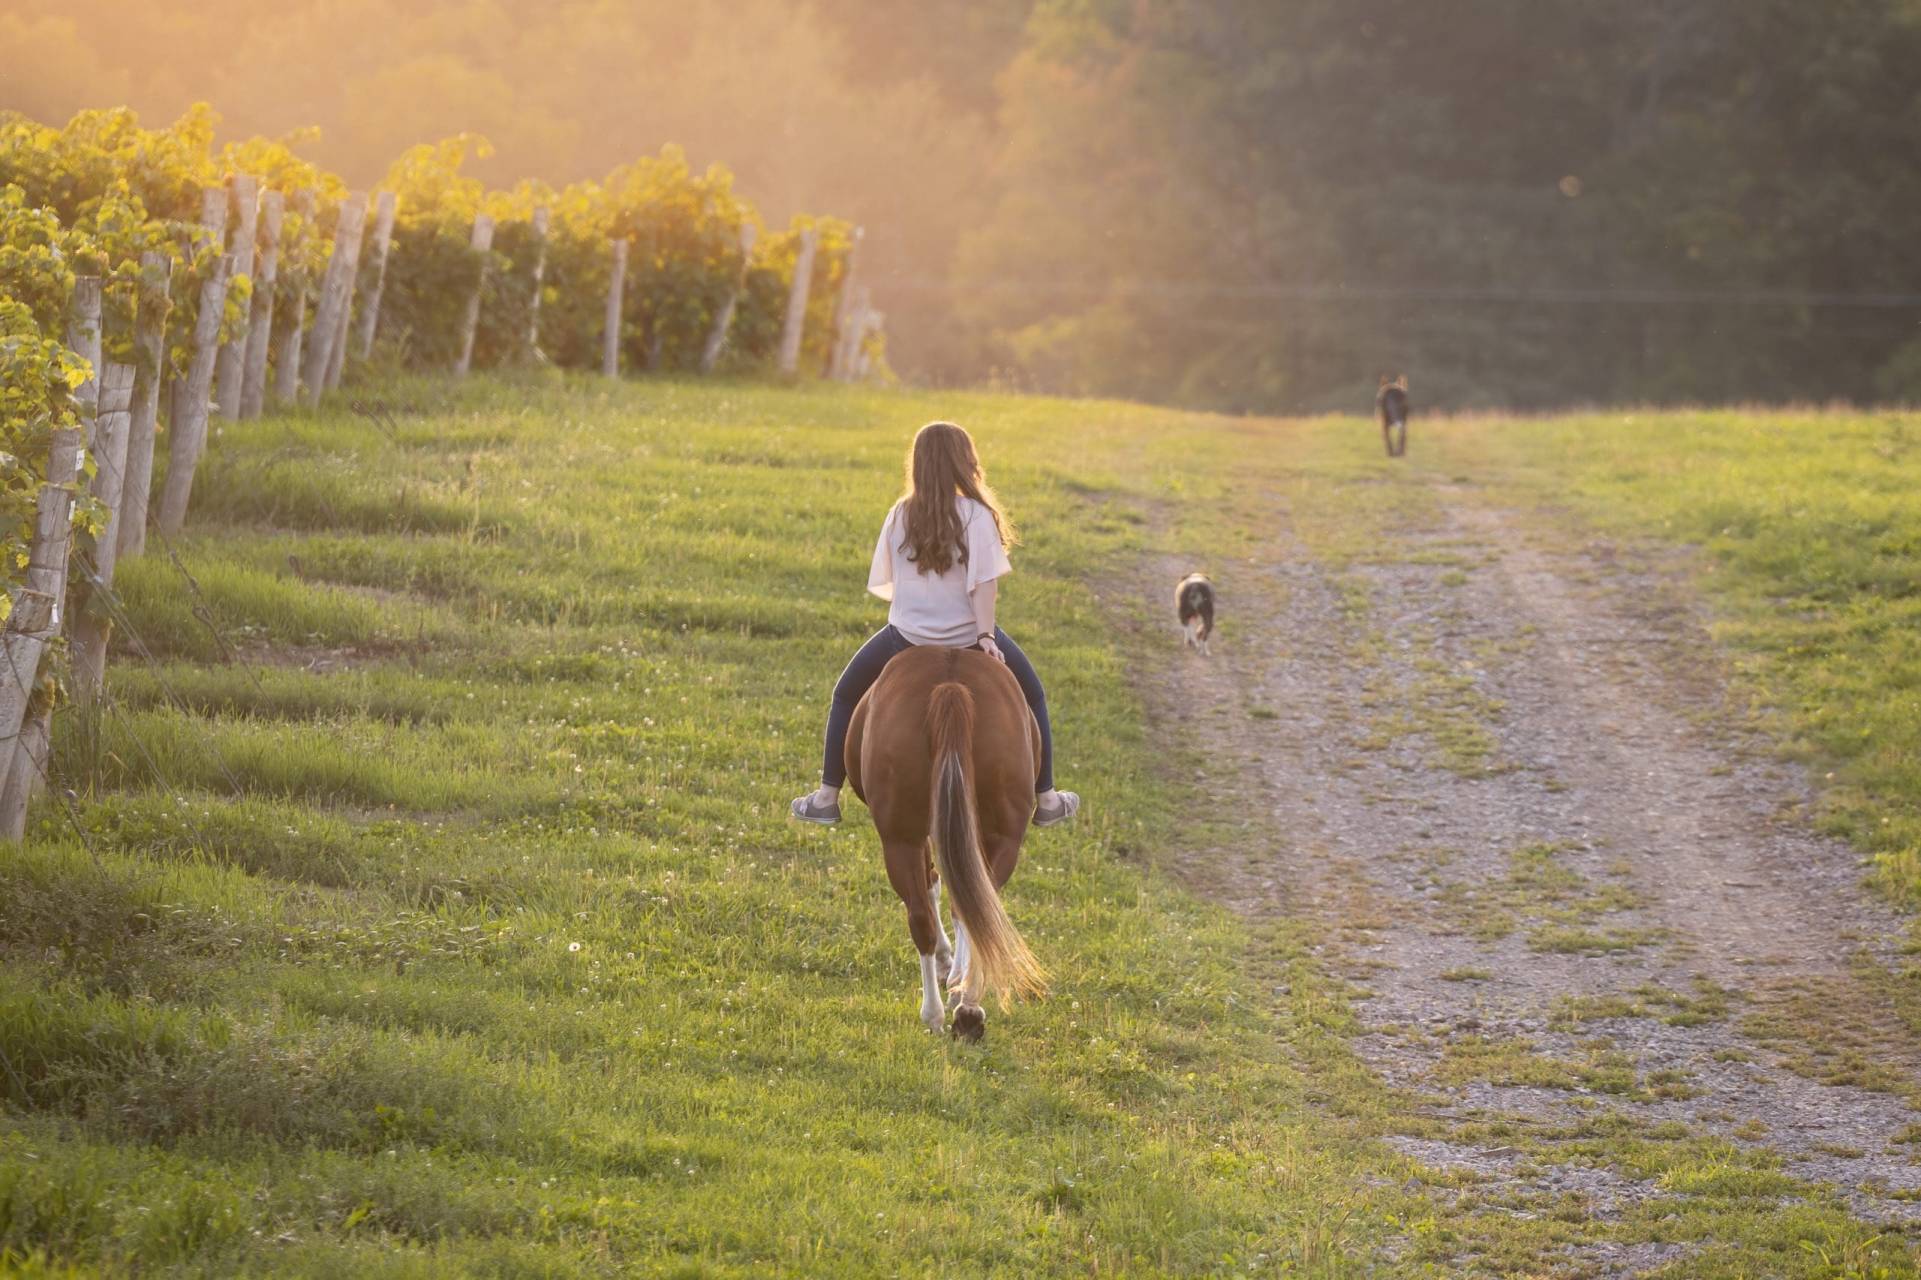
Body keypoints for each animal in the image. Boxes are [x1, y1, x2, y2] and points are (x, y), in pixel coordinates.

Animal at [845, 649, 1045, 1037]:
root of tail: (950, 687)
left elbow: (934, 884)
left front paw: (947, 966)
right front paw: (953, 975)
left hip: (900, 837)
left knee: (924, 911)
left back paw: (938, 1012)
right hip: (1000, 835)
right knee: (976, 908)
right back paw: (966, 1008)